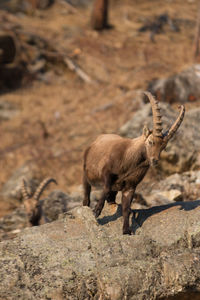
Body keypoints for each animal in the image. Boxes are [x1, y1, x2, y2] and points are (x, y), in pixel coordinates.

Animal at [82, 91, 185, 234]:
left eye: (163, 147)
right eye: (150, 142)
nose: (154, 160)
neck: (129, 161)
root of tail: (95, 141)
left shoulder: (130, 186)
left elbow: (126, 208)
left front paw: (126, 230)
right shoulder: (106, 173)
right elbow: (106, 188)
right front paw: (96, 211)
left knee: (111, 198)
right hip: (86, 174)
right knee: (87, 196)